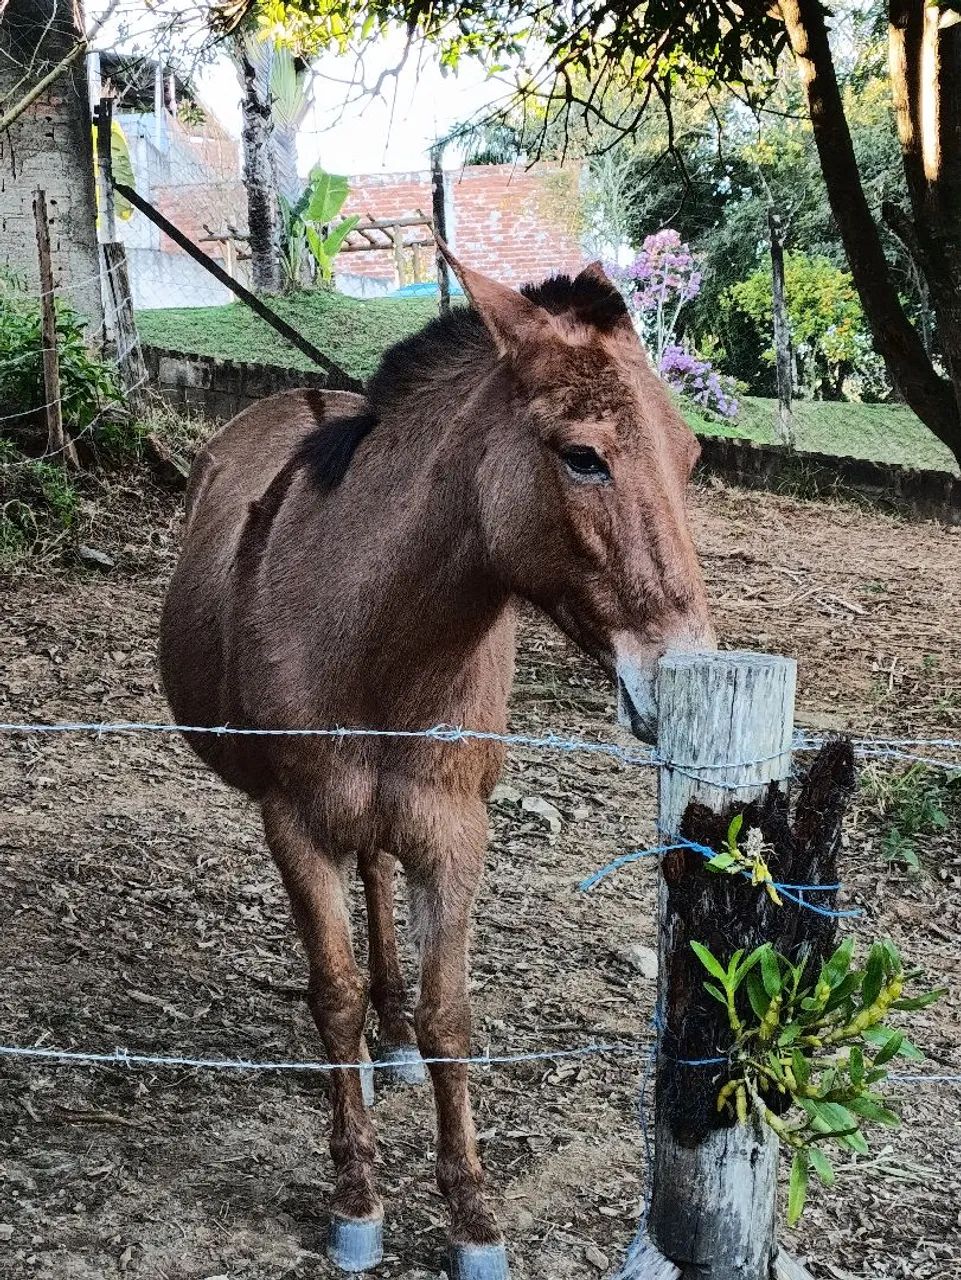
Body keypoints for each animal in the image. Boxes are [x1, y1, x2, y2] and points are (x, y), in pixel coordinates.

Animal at [159, 247, 714, 1278]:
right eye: (582, 456)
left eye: (690, 455)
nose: (682, 673)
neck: (369, 631)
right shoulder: (294, 824)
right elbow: (330, 996)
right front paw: (356, 1198)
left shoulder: (453, 830)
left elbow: (449, 1013)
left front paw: (472, 1216)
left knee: (377, 876)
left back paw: (395, 1037)